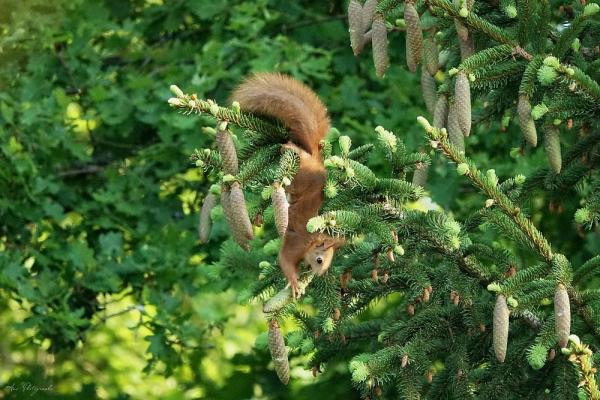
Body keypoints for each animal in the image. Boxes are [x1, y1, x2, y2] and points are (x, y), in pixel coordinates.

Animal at [231, 72, 342, 296]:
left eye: (327, 265)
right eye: (320, 260)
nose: (317, 275)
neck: (310, 243)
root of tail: (315, 161)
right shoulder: (295, 243)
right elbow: (285, 260)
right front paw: (294, 282)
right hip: (300, 178)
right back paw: (290, 148)